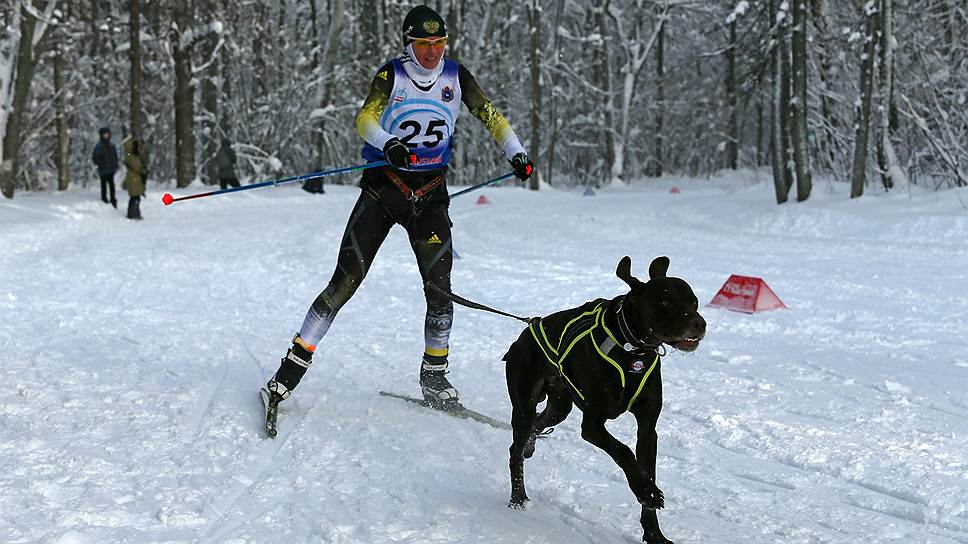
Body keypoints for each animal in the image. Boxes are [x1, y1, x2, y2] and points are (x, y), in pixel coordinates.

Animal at [506, 256, 704, 544]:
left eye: (694, 302)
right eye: (665, 301)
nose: (700, 324)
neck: (633, 349)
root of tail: (523, 335)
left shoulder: (647, 429)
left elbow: (646, 466)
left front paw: (654, 532)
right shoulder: (592, 425)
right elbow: (623, 451)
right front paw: (647, 492)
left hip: (560, 405)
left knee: (539, 423)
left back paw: (531, 446)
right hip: (524, 404)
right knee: (516, 448)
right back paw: (518, 497)